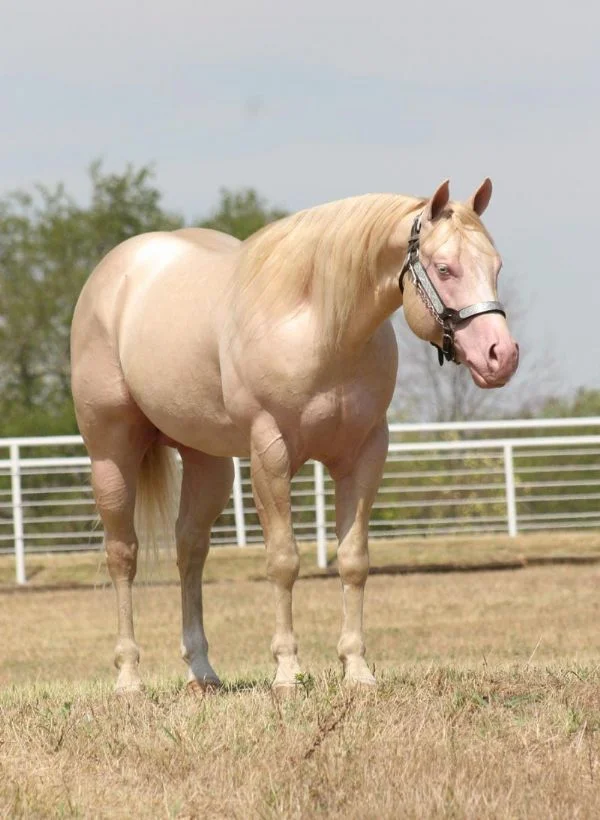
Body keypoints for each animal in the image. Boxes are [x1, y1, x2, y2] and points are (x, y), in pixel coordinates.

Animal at [70, 178, 519, 695]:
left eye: (496, 266)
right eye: (445, 268)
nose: (501, 356)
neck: (321, 326)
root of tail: (112, 274)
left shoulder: (366, 453)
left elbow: (354, 560)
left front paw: (357, 669)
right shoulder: (270, 453)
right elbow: (283, 559)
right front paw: (287, 671)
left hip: (207, 463)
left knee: (191, 551)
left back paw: (202, 672)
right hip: (111, 453)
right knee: (122, 555)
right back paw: (128, 677)